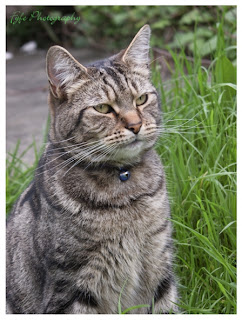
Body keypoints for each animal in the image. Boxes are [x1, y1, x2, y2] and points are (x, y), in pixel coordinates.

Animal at [6, 25, 179, 316]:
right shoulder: (70, 286)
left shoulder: (160, 264)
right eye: (102, 108)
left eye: (142, 99)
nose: (135, 125)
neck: (123, 185)